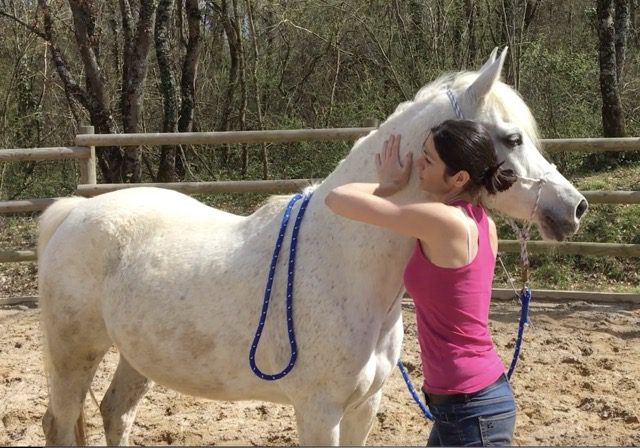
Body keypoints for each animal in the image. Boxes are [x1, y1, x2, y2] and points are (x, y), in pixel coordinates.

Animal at [38, 48, 587, 446]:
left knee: (114, 414)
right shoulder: (319, 412)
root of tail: (72, 213)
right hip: (73, 354)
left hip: (136, 356)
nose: (574, 207)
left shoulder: (364, 407)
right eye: (512, 138)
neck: (346, 263)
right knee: (60, 423)